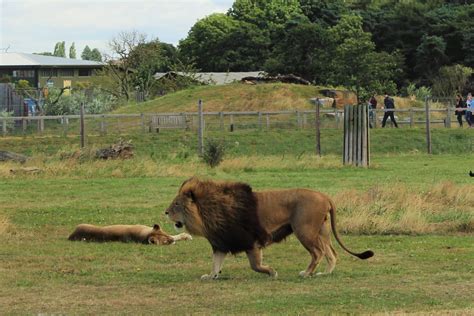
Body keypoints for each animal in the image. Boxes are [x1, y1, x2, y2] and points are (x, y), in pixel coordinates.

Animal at [166, 178, 374, 278]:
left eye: (176, 204)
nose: (165, 212)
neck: (207, 213)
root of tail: (324, 196)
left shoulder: (250, 241)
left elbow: (255, 265)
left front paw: (272, 272)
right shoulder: (221, 243)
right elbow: (215, 264)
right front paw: (210, 276)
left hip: (304, 230)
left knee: (318, 253)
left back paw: (307, 273)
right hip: (321, 231)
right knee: (332, 253)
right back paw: (324, 273)